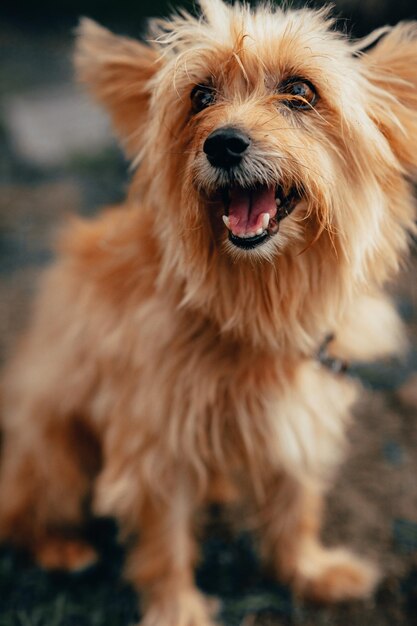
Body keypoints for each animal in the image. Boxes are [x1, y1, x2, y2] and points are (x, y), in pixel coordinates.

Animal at [0, 0, 416, 620]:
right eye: (199, 95)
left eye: (300, 90)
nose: (223, 143)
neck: (254, 302)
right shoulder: (157, 436)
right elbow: (165, 538)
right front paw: (177, 609)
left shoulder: (302, 407)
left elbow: (296, 502)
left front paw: (309, 570)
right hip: (56, 447)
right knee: (21, 510)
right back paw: (60, 547)